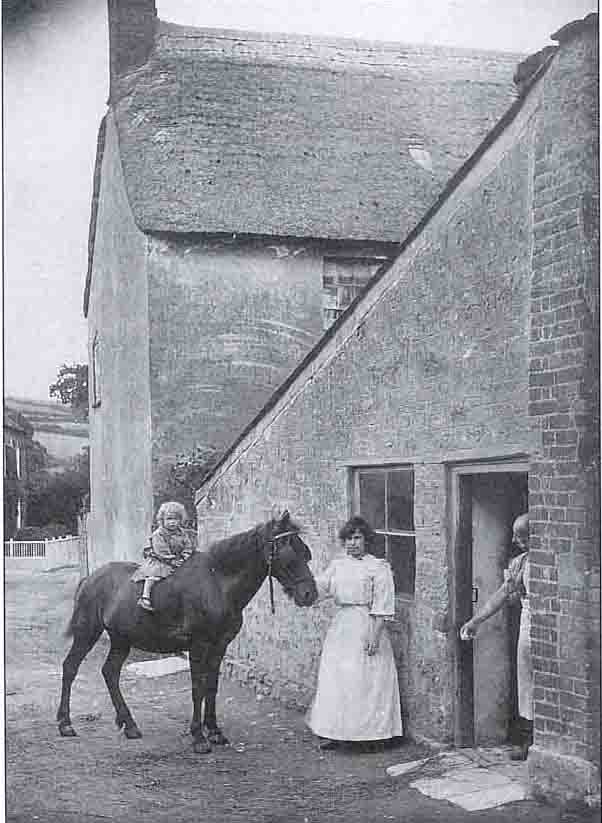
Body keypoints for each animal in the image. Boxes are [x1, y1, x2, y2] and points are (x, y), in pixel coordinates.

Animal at [58, 512, 316, 756]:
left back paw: (129, 725)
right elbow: (197, 689)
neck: (217, 583)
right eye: (288, 552)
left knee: (110, 673)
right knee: (70, 667)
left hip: (121, 640)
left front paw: (214, 731)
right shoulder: (198, 646)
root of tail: (90, 579)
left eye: (305, 553)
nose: (309, 594)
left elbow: (211, 687)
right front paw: (198, 737)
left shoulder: (219, 646)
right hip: (87, 633)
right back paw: (65, 724)